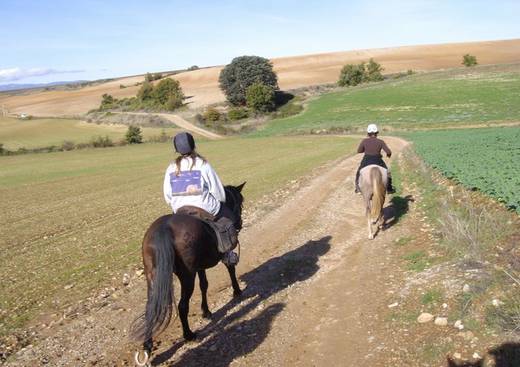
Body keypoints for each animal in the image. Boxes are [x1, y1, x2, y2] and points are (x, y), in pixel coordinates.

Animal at [129, 183, 245, 366]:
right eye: (240, 202)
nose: (239, 222)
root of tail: (163, 228)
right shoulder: (214, 260)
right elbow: (230, 269)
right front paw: (237, 291)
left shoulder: (199, 266)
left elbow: (204, 285)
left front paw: (206, 311)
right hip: (187, 275)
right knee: (183, 305)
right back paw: (189, 334)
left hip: (152, 276)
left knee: (150, 309)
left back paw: (147, 346)